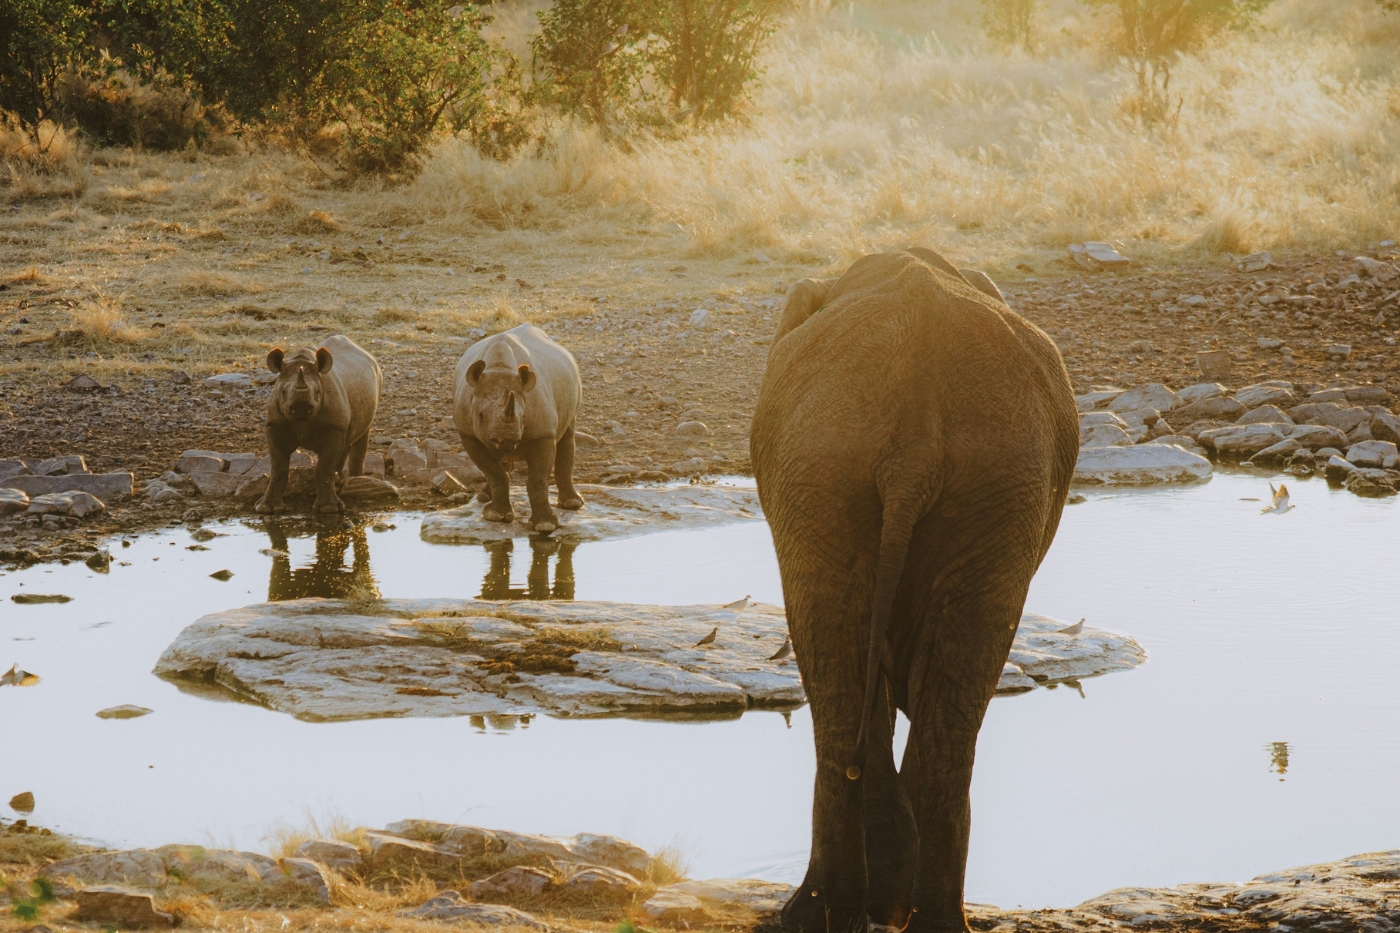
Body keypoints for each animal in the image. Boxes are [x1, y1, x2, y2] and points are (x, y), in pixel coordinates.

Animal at [258, 334, 381, 515]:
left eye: (317, 392)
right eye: (282, 392)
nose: (301, 407)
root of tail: (367, 354)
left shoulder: (334, 426)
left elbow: (324, 467)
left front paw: (329, 509)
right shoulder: (275, 424)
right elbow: (278, 468)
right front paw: (266, 508)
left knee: (361, 433)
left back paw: (357, 480)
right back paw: (341, 480)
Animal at [453, 323, 583, 533]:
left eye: (523, 416)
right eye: (480, 415)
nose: (506, 438)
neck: (499, 367)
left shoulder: (543, 434)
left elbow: (537, 479)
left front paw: (545, 525)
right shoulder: (468, 435)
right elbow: (494, 472)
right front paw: (495, 516)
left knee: (567, 433)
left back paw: (572, 503)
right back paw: (484, 497)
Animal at [751, 247, 1077, 933]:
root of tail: (914, 430)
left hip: (852, 474)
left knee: (844, 685)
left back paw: (833, 912)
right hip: (973, 482)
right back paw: (908, 916)